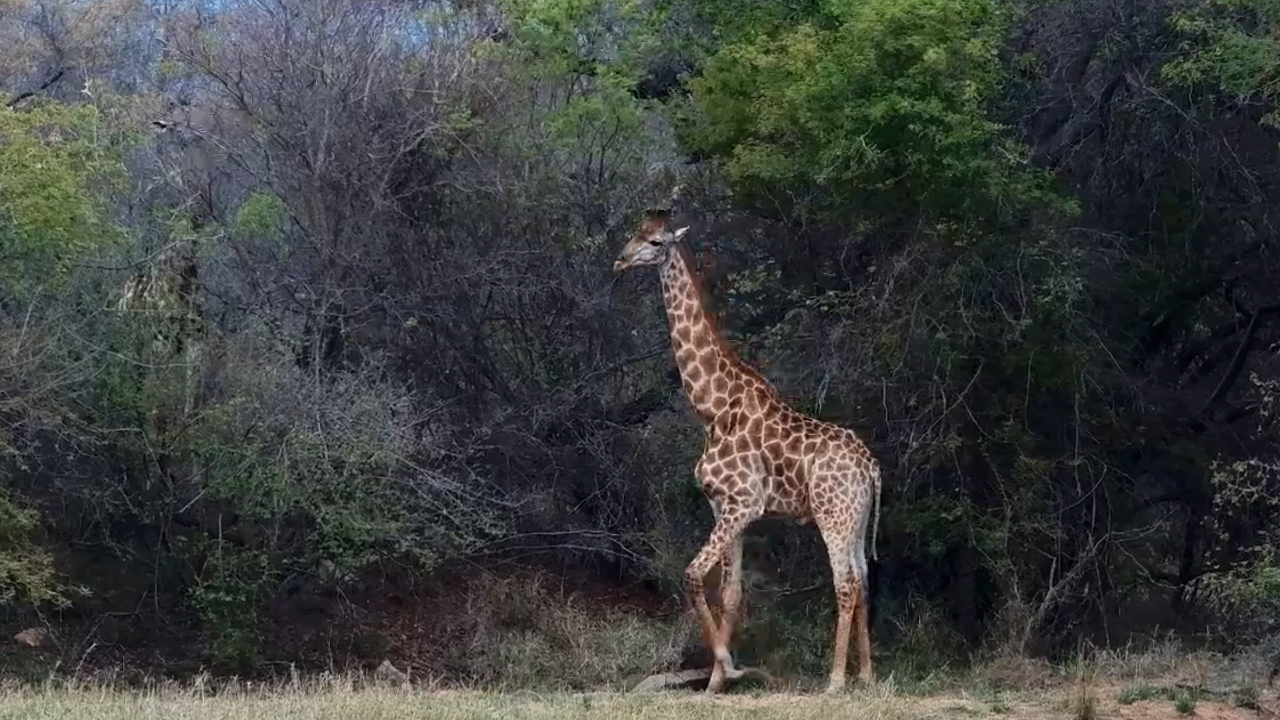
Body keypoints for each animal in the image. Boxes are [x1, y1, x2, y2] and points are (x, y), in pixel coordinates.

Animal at [613, 208, 882, 695]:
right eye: (635, 233)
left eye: (657, 242)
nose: (620, 261)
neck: (712, 407)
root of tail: (871, 469)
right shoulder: (725, 507)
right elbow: (732, 593)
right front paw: (715, 684)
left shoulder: (743, 503)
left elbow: (693, 575)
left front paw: (727, 667)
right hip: (856, 517)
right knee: (865, 580)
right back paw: (867, 676)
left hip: (833, 515)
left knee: (847, 583)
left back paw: (835, 681)